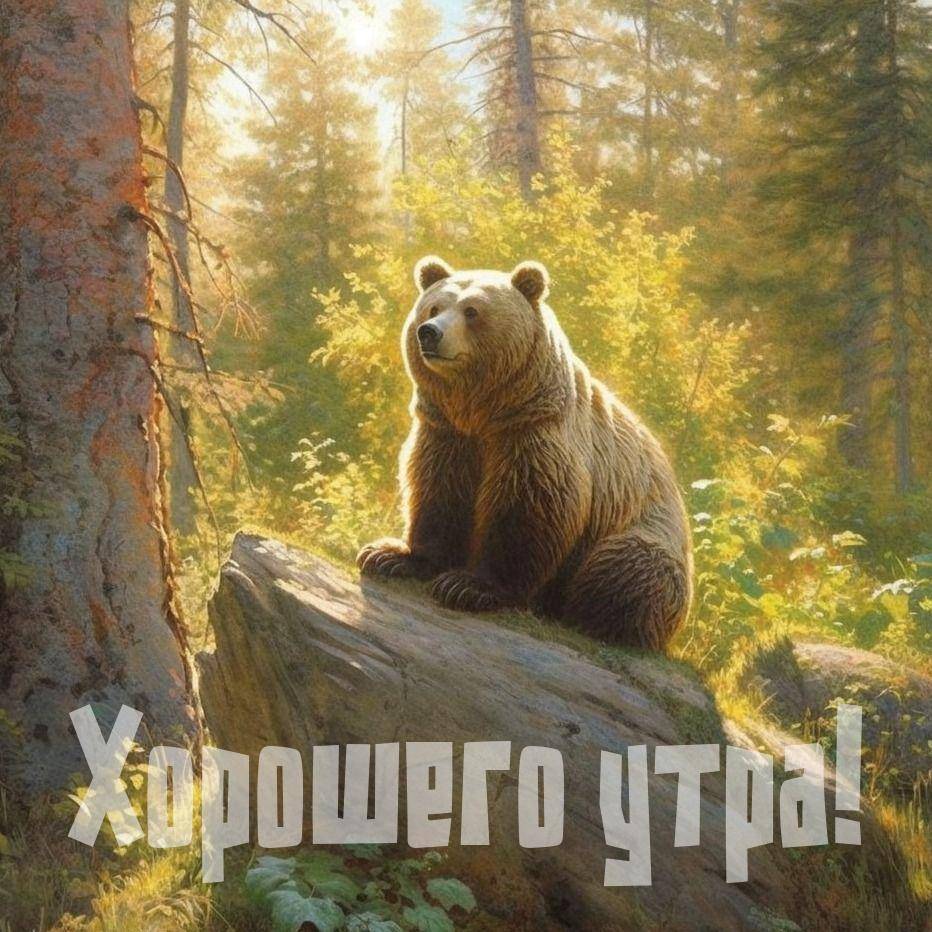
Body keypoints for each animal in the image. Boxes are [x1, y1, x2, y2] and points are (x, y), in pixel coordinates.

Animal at [357, 255, 692, 651]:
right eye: (433, 307)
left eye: (472, 310)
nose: (429, 332)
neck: (483, 411)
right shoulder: (447, 434)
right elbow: (437, 490)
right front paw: (390, 555)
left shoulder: (534, 437)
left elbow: (528, 509)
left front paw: (468, 585)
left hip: (645, 533)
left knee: (628, 568)